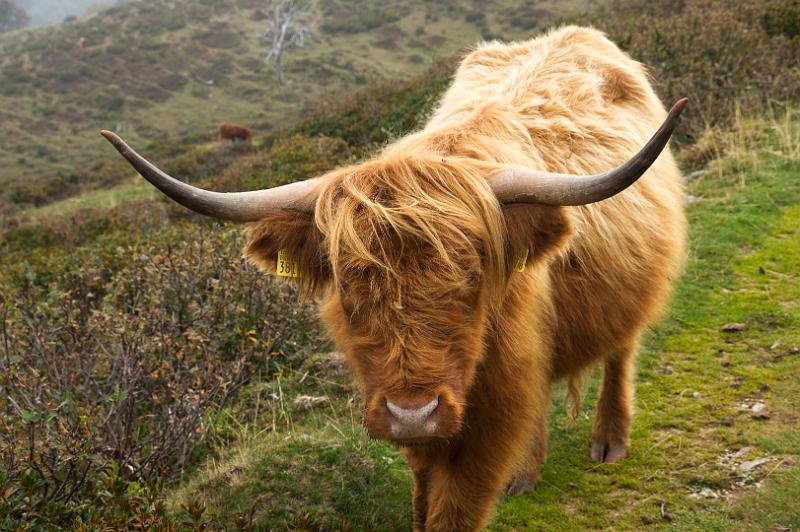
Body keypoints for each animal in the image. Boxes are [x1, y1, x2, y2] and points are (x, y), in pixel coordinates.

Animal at [101, 26, 688, 532]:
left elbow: (455, 509)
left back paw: (609, 440)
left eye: (472, 275)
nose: (413, 415)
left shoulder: (490, 418)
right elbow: (424, 499)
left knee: (620, 352)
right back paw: (526, 473)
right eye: (347, 287)